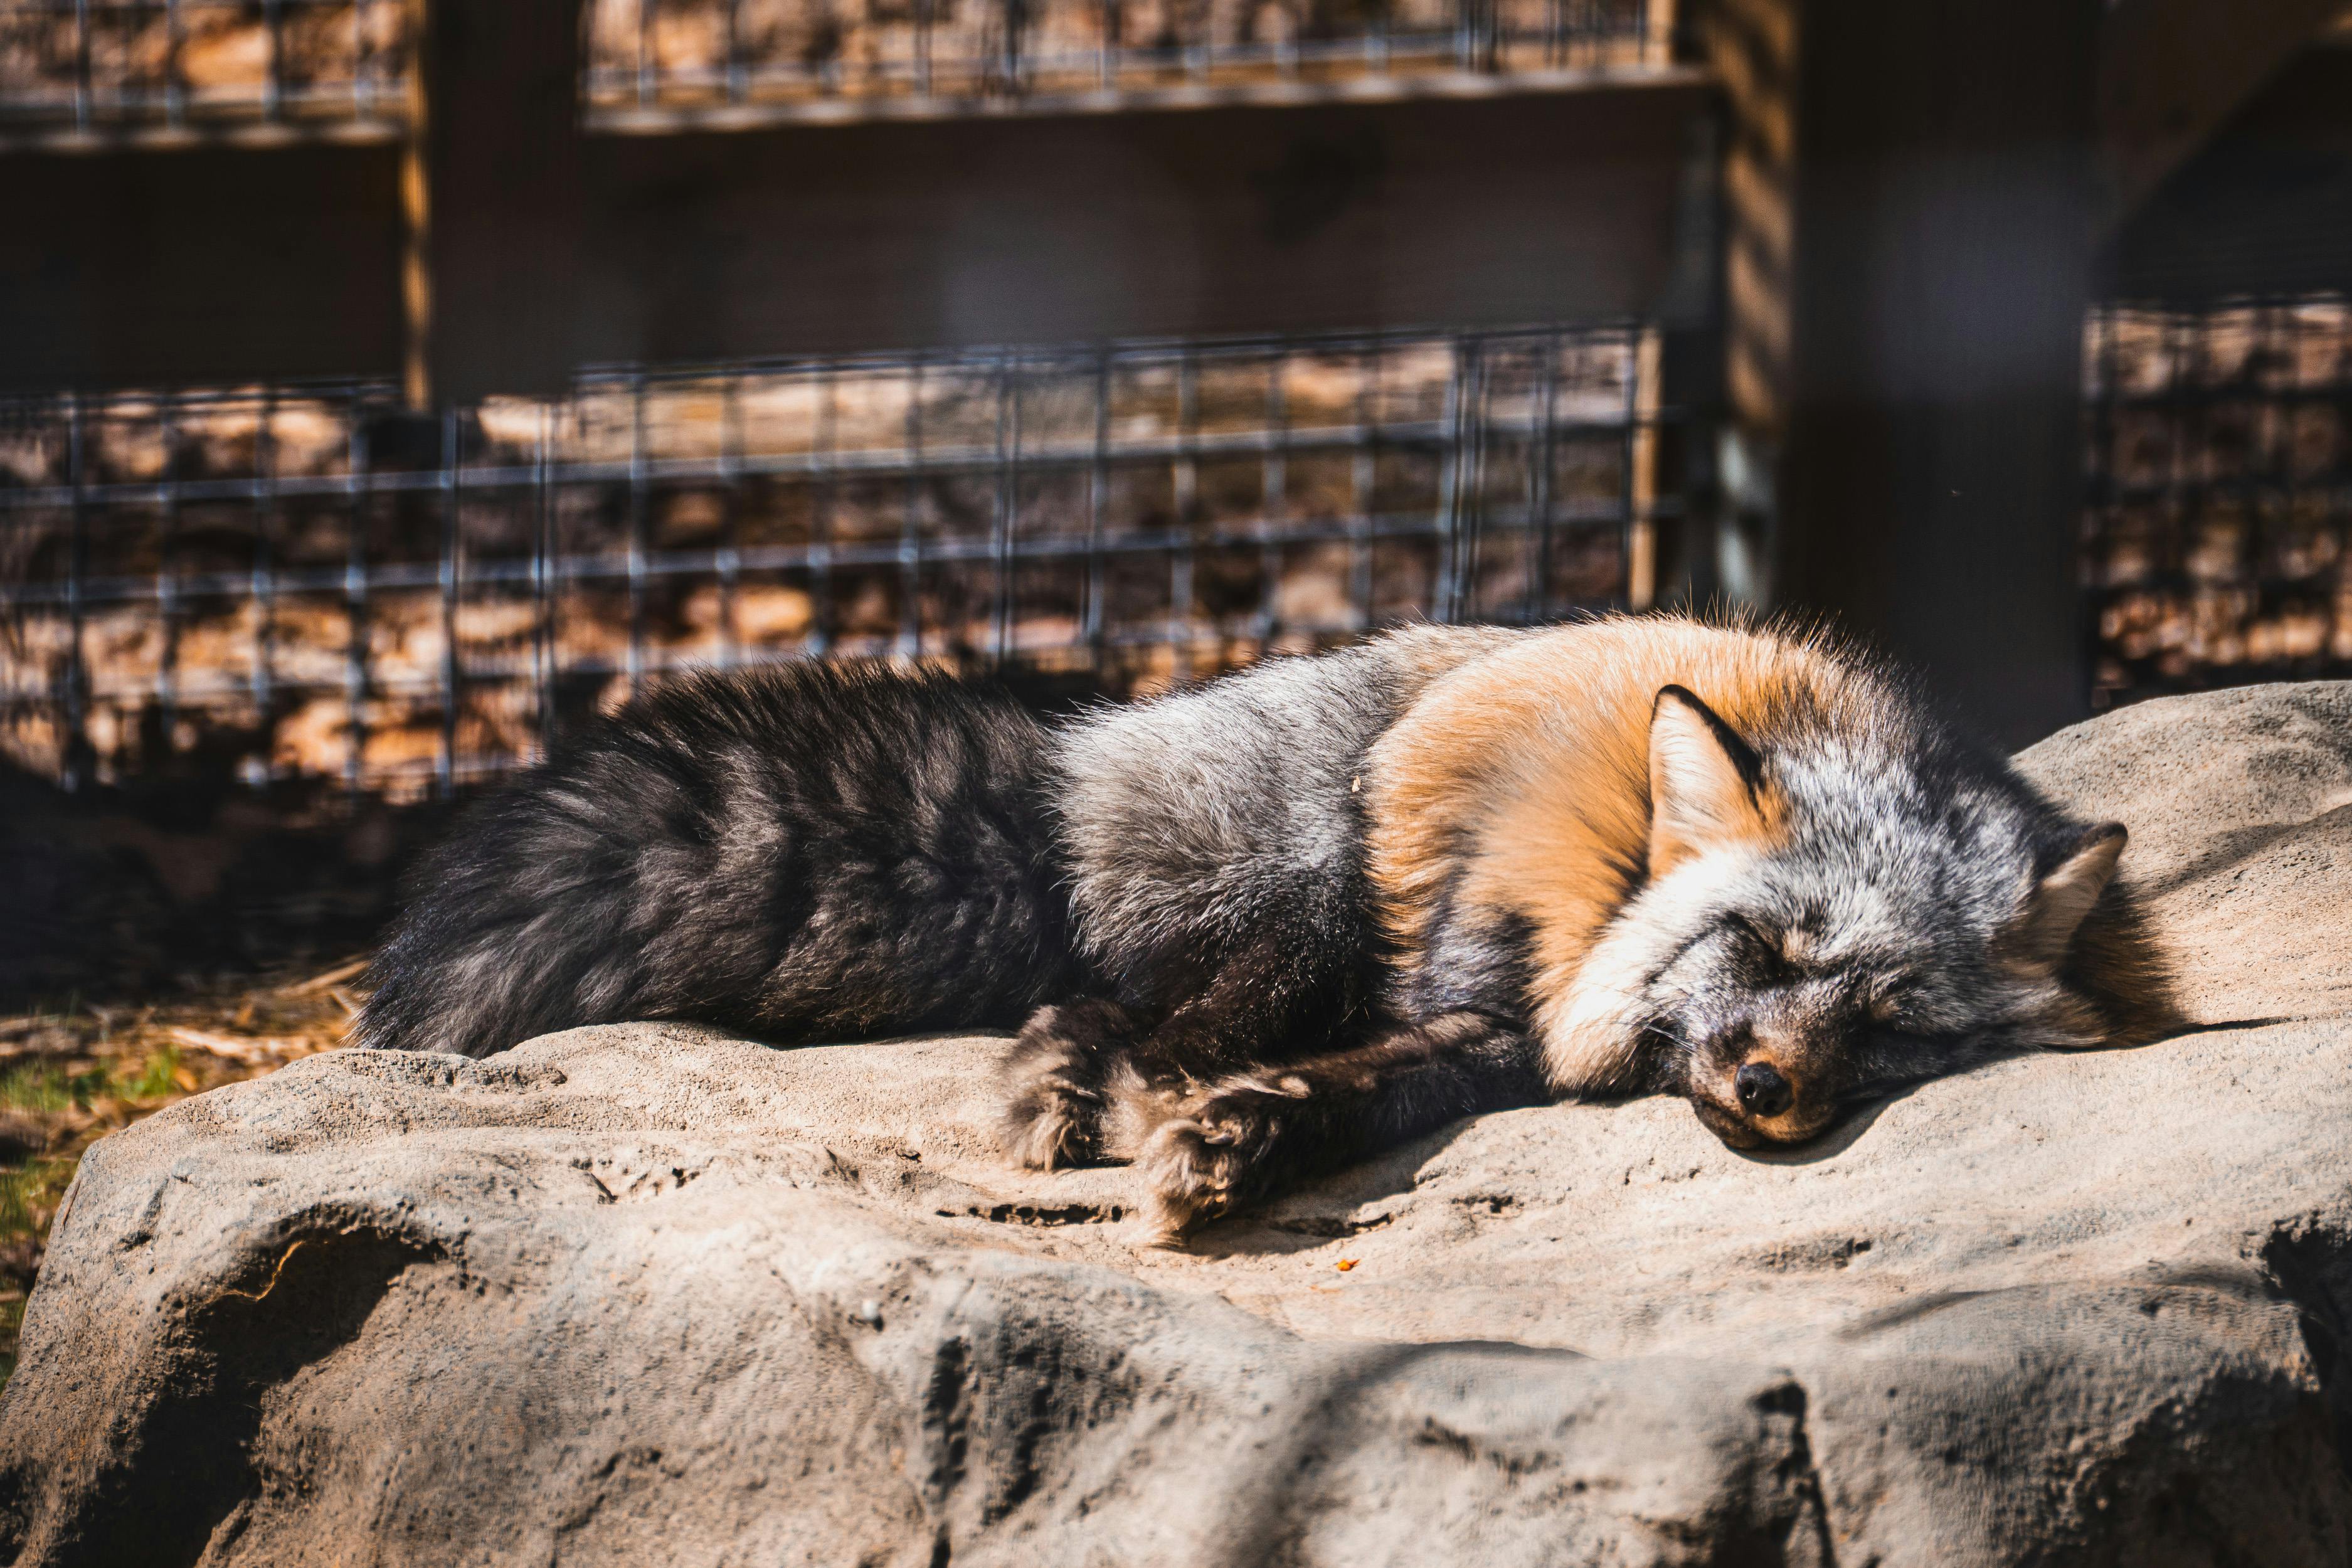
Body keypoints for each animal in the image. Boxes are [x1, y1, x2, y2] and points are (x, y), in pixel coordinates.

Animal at [356, 615, 2168, 1239]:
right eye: (1765, 955)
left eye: (1892, 1025)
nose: (1768, 1090)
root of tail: (1092, 746)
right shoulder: (1473, 956)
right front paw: (1207, 1131)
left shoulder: (1479, 1039)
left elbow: (1364, 1095)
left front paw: (1247, 1149)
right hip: (1314, 887)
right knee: (1104, 1011)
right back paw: (1073, 1096)